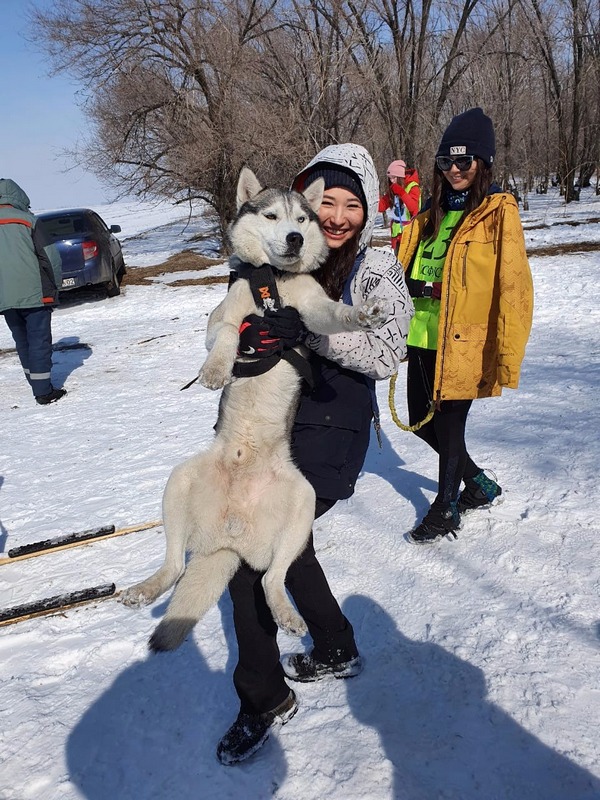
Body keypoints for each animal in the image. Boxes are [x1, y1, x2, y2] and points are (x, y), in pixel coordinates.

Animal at [122, 167, 387, 651]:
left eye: (302, 218)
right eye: (271, 216)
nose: (296, 238)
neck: (275, 283)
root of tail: (231, 536)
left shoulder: (311, 310)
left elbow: (334, 314)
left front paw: (362, 315)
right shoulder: (221, 318)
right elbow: (229, 333)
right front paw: (214, 371)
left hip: (301, 506)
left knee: (271, 580)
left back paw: (287, 614)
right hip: (178, 482)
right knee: (174, 565)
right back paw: (143, 590)